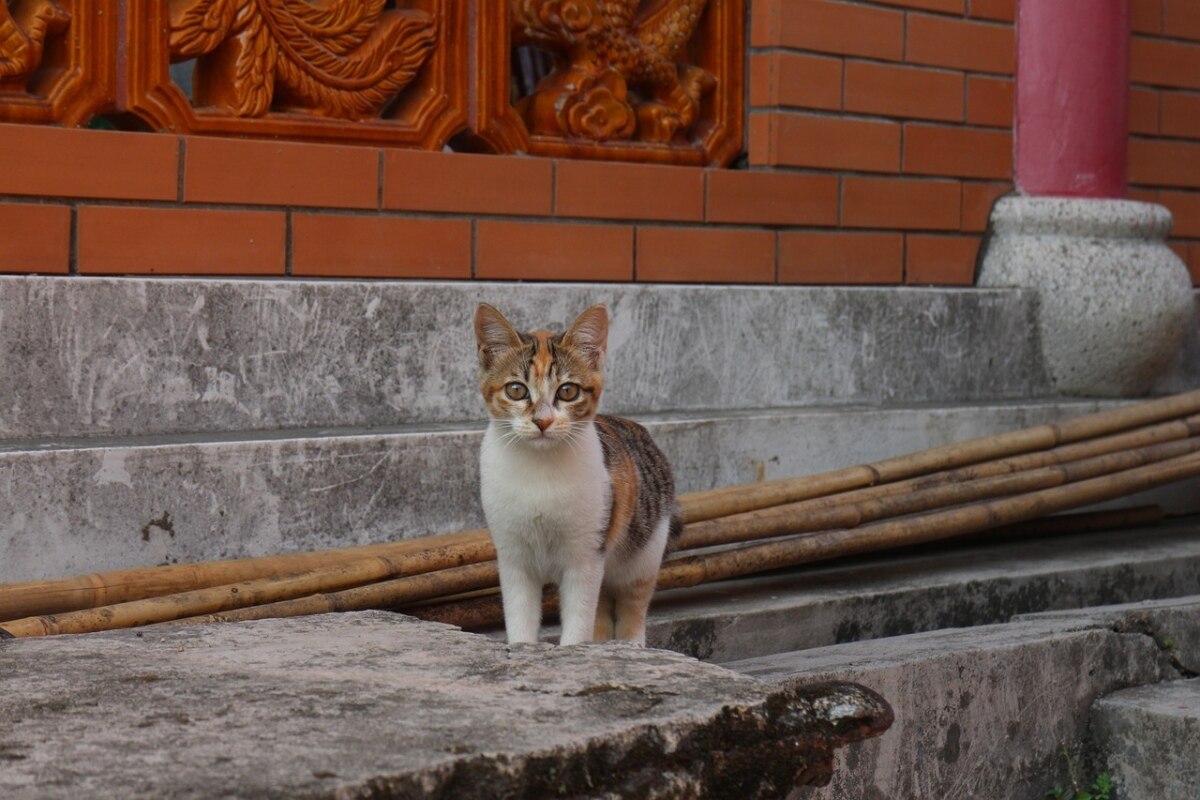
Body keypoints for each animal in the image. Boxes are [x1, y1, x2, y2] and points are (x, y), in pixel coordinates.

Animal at [477, 303, 686, 647]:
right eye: (516, 389)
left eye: (568, 391)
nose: (543, 421)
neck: (540, 468)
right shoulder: (512, 556)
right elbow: (520, 615)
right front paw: (521, 647)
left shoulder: (586, 554)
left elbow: (579, 618)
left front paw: (576, 650)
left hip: (645, 550)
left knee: (632, 601)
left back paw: (630, 644)